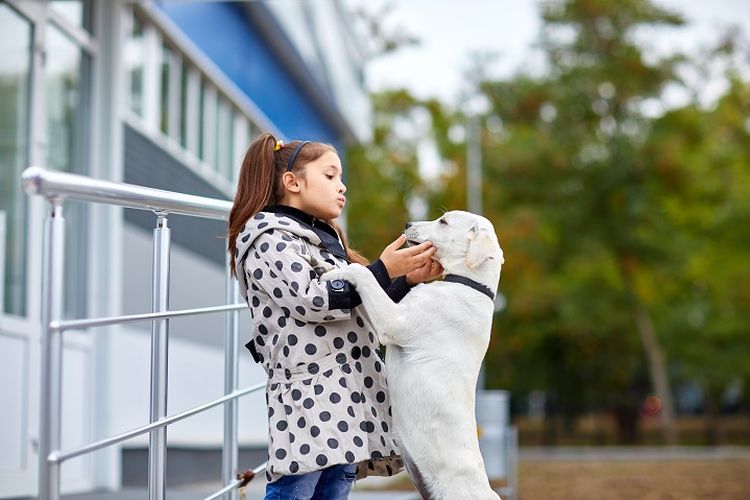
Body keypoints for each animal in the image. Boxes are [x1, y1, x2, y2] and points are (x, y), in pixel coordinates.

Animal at [324, 209, 506, 498]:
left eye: (443, 221)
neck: (469, 284)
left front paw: (337, 271)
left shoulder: (393, 321)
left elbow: (365, 275)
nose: (407, 223)